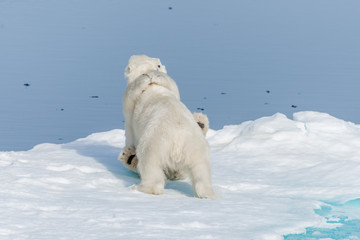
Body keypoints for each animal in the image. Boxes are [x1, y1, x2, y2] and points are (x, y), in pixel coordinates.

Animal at [121, 54, 217, 199]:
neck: (152, 86)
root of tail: (178, 143)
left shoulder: (129, 104)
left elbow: (130, 132)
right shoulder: (172, 87)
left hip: (154, 145)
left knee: (150, 165)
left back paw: (139, 185)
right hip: (197, 148)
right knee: (201, 171)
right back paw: (207, 193)